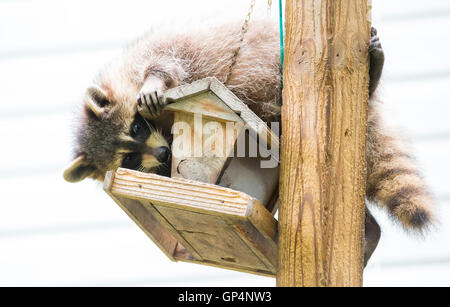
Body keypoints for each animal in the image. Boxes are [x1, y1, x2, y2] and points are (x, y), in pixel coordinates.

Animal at [62, 19, 432, 264]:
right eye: (129, 160)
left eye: (137, 127)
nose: (165, 152)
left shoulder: (158, 51)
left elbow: (166, 60)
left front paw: (154, 80)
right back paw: (370, 230)